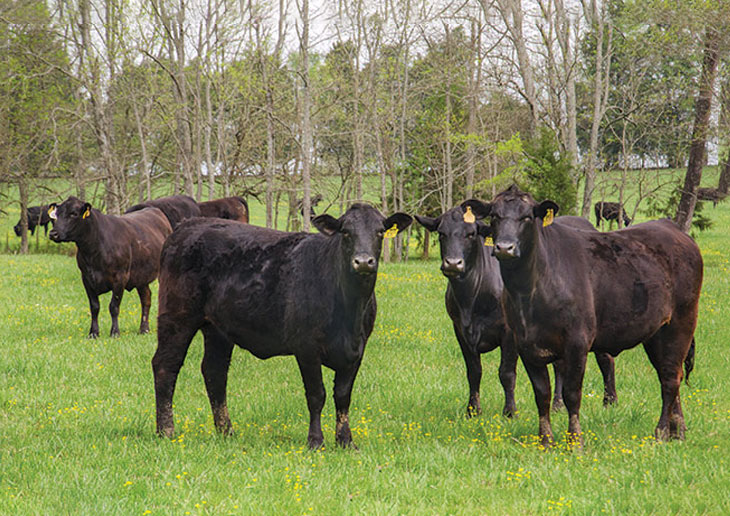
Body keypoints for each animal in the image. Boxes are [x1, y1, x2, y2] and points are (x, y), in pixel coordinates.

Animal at [48, 196, 173, 338]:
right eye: (57, 214)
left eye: (73, 214)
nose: (53, 233)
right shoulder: (86, 278)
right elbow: (94, 307)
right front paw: (93, 333)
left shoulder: (120, 277)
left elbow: (114, 306)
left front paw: (115, 332)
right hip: (141, 277)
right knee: (146, 298)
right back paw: (144, 329)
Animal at [152, 203, 412, 449]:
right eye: (346, 232)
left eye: (380, 232)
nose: (364, 261)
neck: (349, 311)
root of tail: (188, 225)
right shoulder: (307, 348)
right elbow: (316, 395)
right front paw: (315, 441)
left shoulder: (357, 350)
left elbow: (343, 396)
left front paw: (346, 441)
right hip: (177, 316)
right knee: (166, 365)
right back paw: (166, 430)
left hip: (217, 329)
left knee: (214, 372)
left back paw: (226, 431)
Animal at [415, 209, 616, 419]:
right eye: (441, 233)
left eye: (470, 234)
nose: (453, 264)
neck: (471, 300)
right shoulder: (460, 331)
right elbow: (474, 372)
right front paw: (473, 410)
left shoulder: (509, 333)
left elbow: (506, 373)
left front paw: (510, 411)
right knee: (560, 365)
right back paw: (558, 404)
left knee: (605, 359)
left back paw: (609, 401)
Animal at [463, 185, 702, 444]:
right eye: (495, 216)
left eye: (526, 217)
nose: (504, 247)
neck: (530, 290)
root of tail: (672, 228)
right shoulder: (525, 344)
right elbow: (542, 394)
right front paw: (545, 440)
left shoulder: (577, 341)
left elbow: (571, 394)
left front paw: (575, 440)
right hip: (656, 333)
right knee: (670, 373)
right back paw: (678, 430)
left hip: (681, 323)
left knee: (670, 378)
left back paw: (661, 432)